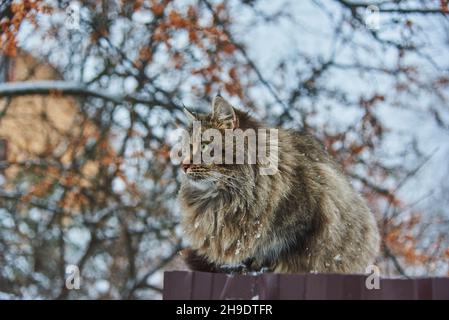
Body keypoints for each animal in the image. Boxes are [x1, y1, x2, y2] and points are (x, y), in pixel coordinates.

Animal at [177, 96, 380, 274]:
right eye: (188, 148)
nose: (183, 165)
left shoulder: (307, 221)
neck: (226, 198)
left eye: (204, 146)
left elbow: (279, 250)